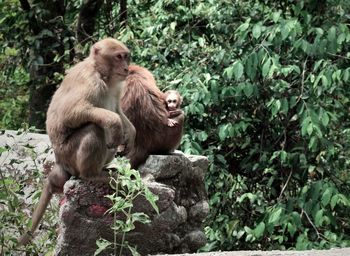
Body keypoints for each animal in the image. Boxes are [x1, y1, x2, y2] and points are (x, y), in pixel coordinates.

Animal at [17, 38, 136, 246]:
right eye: (118, 57)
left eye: (125, 56)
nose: (126, 67)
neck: (103, 74)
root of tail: (59, 164)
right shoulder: (89, 81)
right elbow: (72, 113)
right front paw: (115, 124)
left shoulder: (117, 87)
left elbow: (118, 111)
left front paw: (132, 133)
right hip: (69, 156)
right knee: (95, 130)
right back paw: (92, 175)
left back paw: (104, 169)